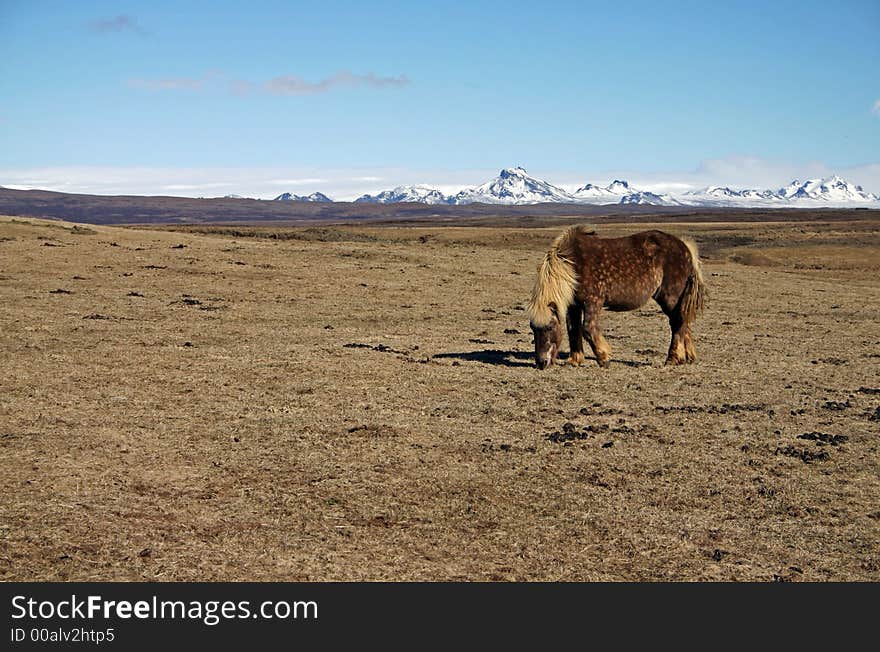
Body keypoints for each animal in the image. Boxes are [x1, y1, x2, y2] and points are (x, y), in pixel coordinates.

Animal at [528, 225, 708, 370]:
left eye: (549, 327)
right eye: (533, 329)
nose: (541, 363)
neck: (572, 266)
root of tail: (684, 246)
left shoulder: (593, 301)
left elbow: (587, 329)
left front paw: (604, 358)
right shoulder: (574, 305)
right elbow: (573, 329)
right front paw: (575, 360)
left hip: (671, 297)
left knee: (678, 323)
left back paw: (673, 358)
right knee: (684, 323)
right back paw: (687, 357)